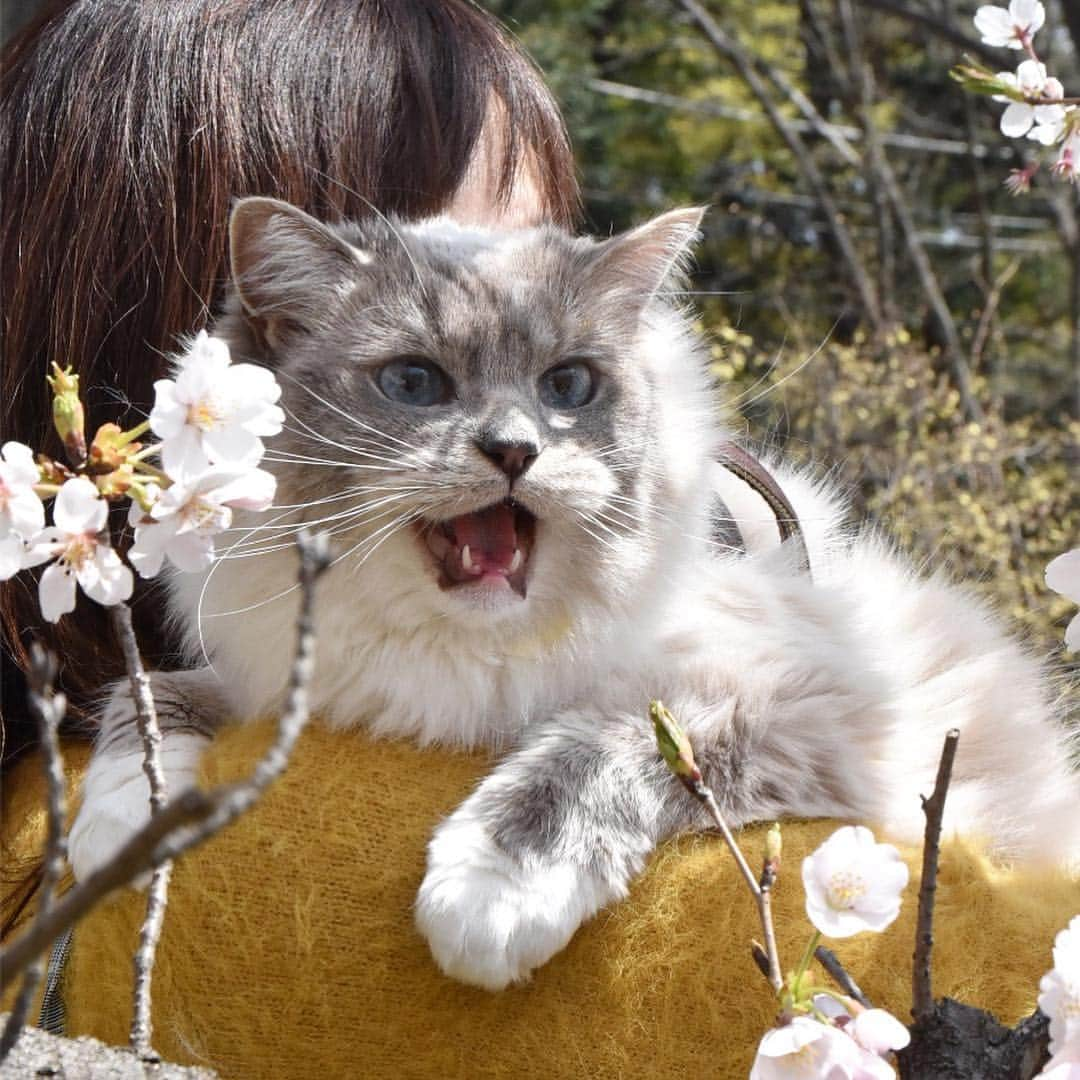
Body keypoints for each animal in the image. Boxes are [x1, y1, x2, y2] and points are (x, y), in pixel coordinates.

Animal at [67, 198, 1080, 989]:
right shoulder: (280, 680)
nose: (515, 451)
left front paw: (488, 898)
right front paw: (116, 828)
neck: (460, 657)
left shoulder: (783, 698)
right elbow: (147, 700)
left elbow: (585, 755)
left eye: (569, 386)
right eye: (414, 382)